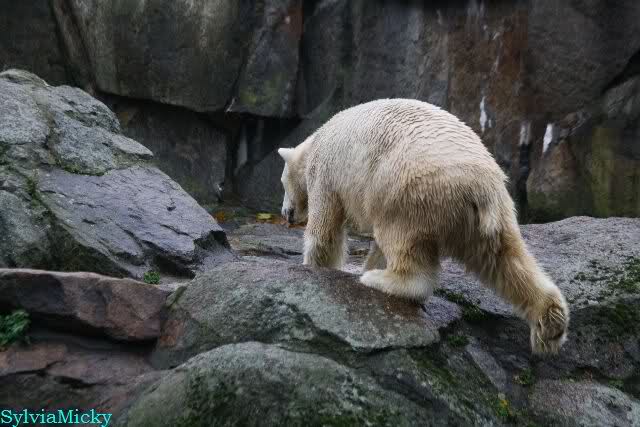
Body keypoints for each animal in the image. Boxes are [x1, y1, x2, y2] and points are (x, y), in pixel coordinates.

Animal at [278, 98, 569, 354]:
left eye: (282, 182)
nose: (285, 214)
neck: (316, 142)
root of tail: (481, 186)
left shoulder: (325, 174)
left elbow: (324, 231)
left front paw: (315, 265)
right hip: (491, 215)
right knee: (503, 257)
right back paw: (550, 324)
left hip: (406, 189)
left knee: (400, 239)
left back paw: (381, 280)